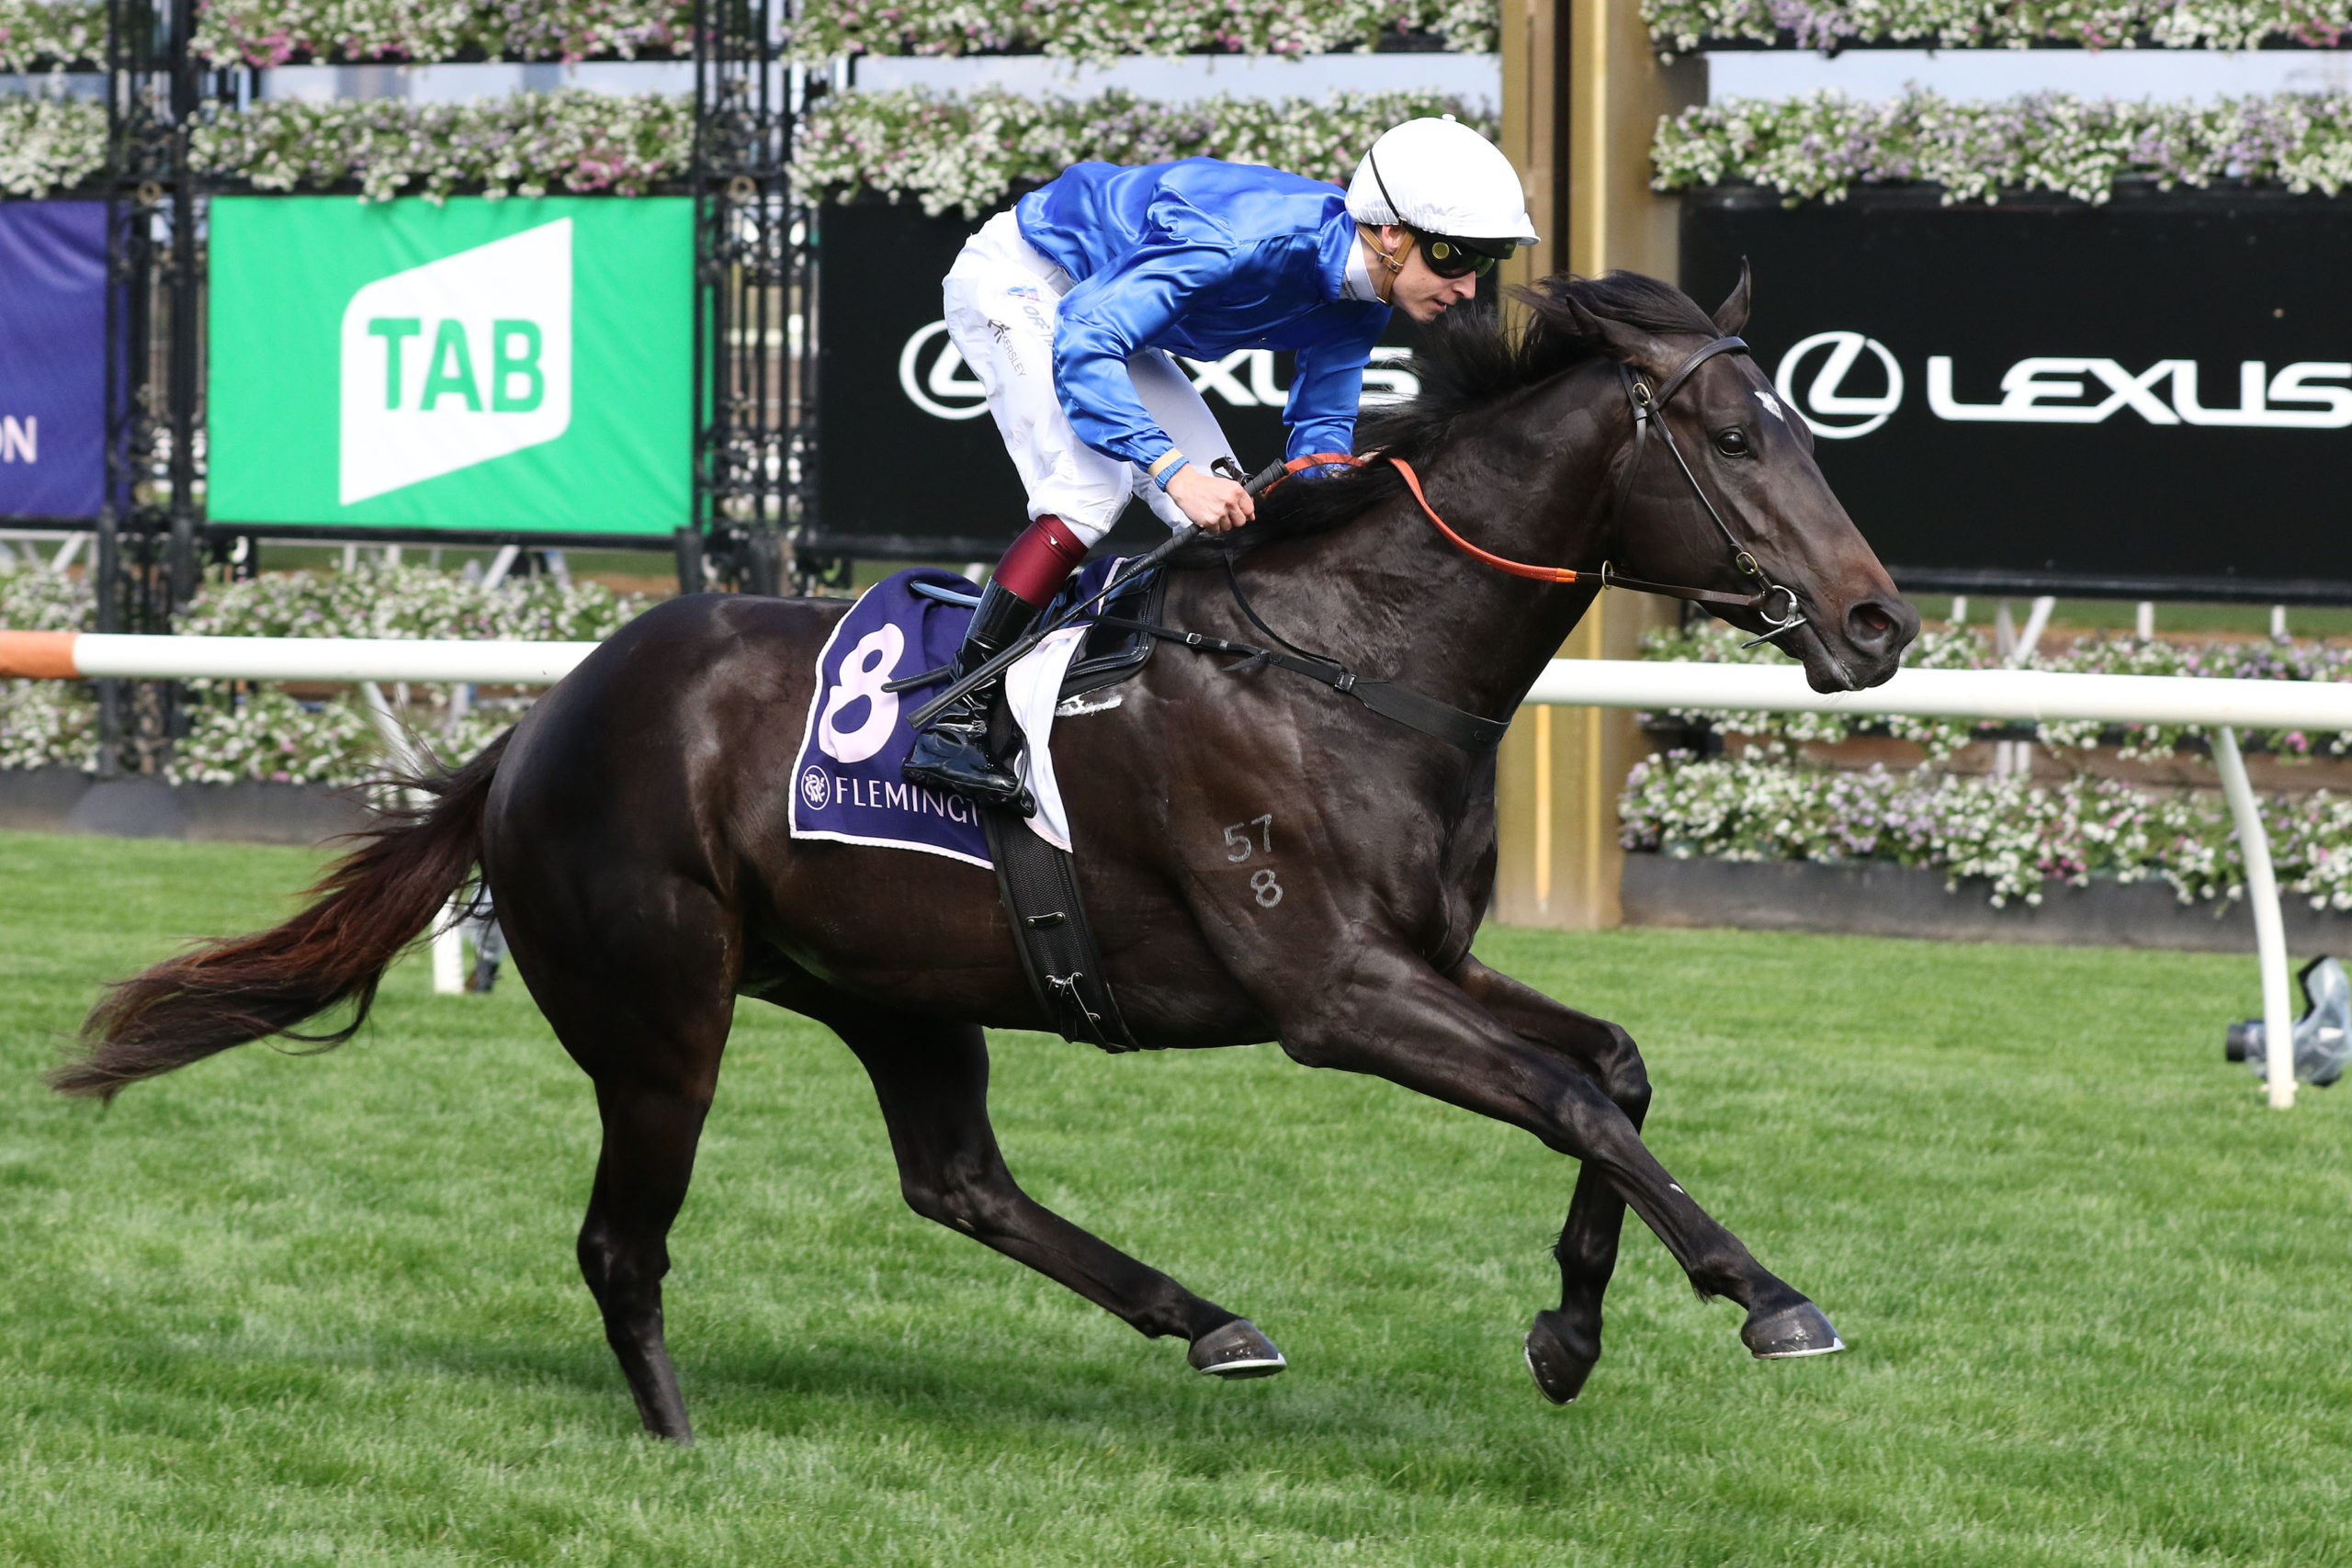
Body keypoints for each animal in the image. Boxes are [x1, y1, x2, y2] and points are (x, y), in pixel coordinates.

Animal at [53, 268, 1919, 1443]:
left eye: (1804, 427)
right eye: (1738, 441)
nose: (1878, 623)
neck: (1351, 653)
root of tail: (536, 730)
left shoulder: (1431, 955)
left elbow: (1612, 1065)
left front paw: (1570, 1329)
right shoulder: (1333, 990)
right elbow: (1572, 1098)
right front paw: (1765, 1292)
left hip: (894, 984)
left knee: (958, 1180)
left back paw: (1208, 1317)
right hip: (663, 1018)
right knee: (622, 1242)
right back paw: (679, 1443)